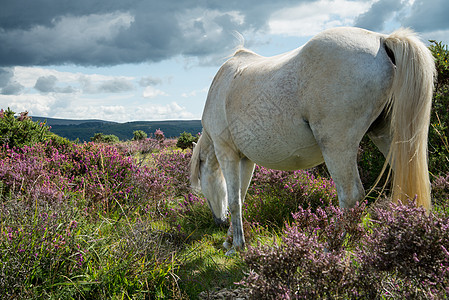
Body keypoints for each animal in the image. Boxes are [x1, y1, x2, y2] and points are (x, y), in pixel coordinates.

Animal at [190, 26, 434, 253]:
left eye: (200, 181)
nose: (217, 221)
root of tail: (382, 39)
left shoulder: (226, 152)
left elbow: (233, 201)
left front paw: (236, 246)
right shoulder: (245, 160)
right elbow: (240, 197)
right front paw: (230, 240)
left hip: (336, 146)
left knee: (351, 196)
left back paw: (331, 246)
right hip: (385, 137)